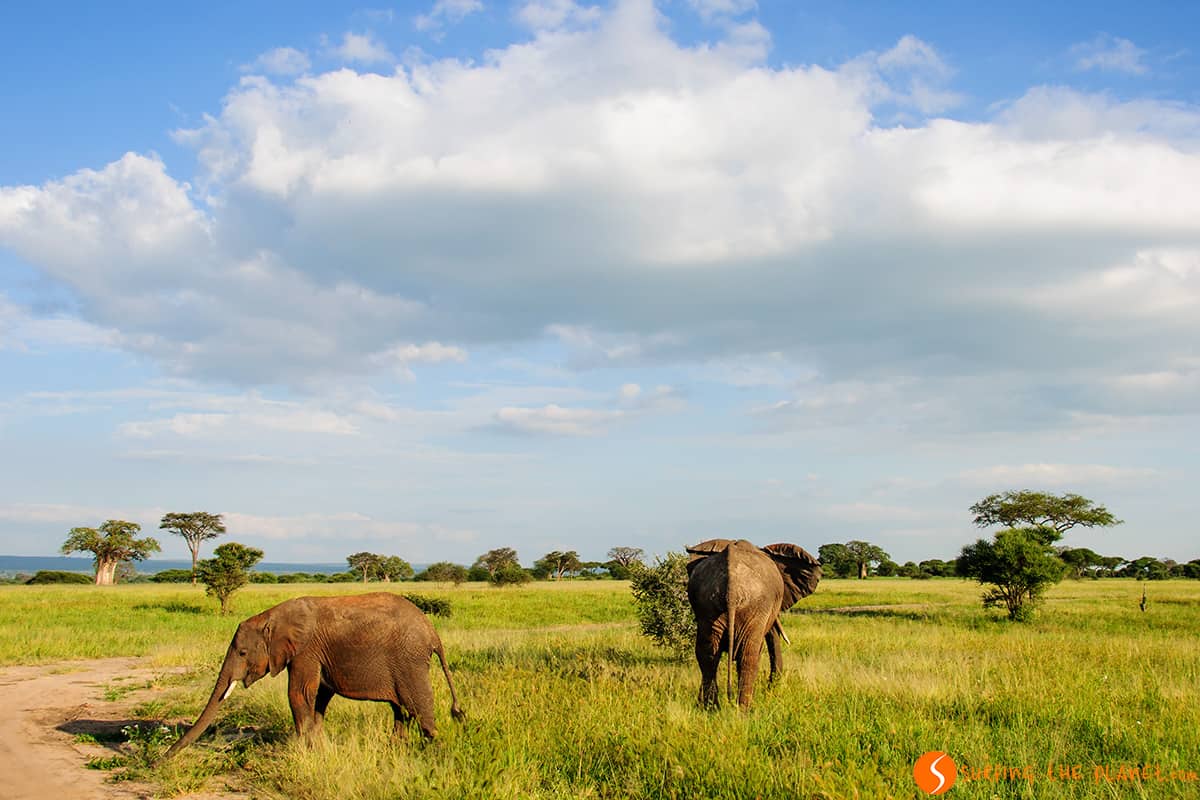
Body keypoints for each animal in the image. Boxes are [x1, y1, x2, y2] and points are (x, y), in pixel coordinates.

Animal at [163, 592, 464, 759]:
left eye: (243, 653)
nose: (159, 761)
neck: (272, 617)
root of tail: (433, 632)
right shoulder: (317, 654)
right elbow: (319, 695)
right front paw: (319, 746)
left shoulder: (305, 650)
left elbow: (299, 693)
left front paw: (303, 750)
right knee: (400, 709)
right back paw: (396, 747)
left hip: (409, 661)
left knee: (416, 705)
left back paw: (430, 746)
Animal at [686, 539, 821, 708]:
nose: (771, 689)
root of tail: (731, 589)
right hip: (755, 606)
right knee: (748, 656)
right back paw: (744, 710)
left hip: (708, 606)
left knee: (708, 655)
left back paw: (711, 708)